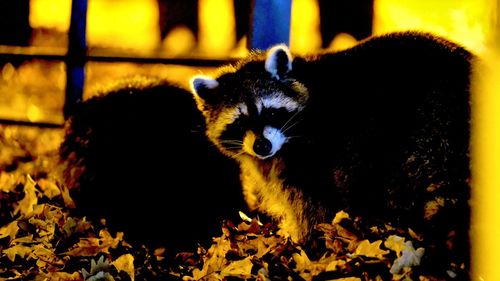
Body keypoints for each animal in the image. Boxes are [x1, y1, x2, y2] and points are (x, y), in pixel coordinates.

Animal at [189, 31, 474, 272]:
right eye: (240, 122)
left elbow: (312, 207)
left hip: (415, 133)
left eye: (270, 112)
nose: (262, 146)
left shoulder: (313, 156)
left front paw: (304, 243)